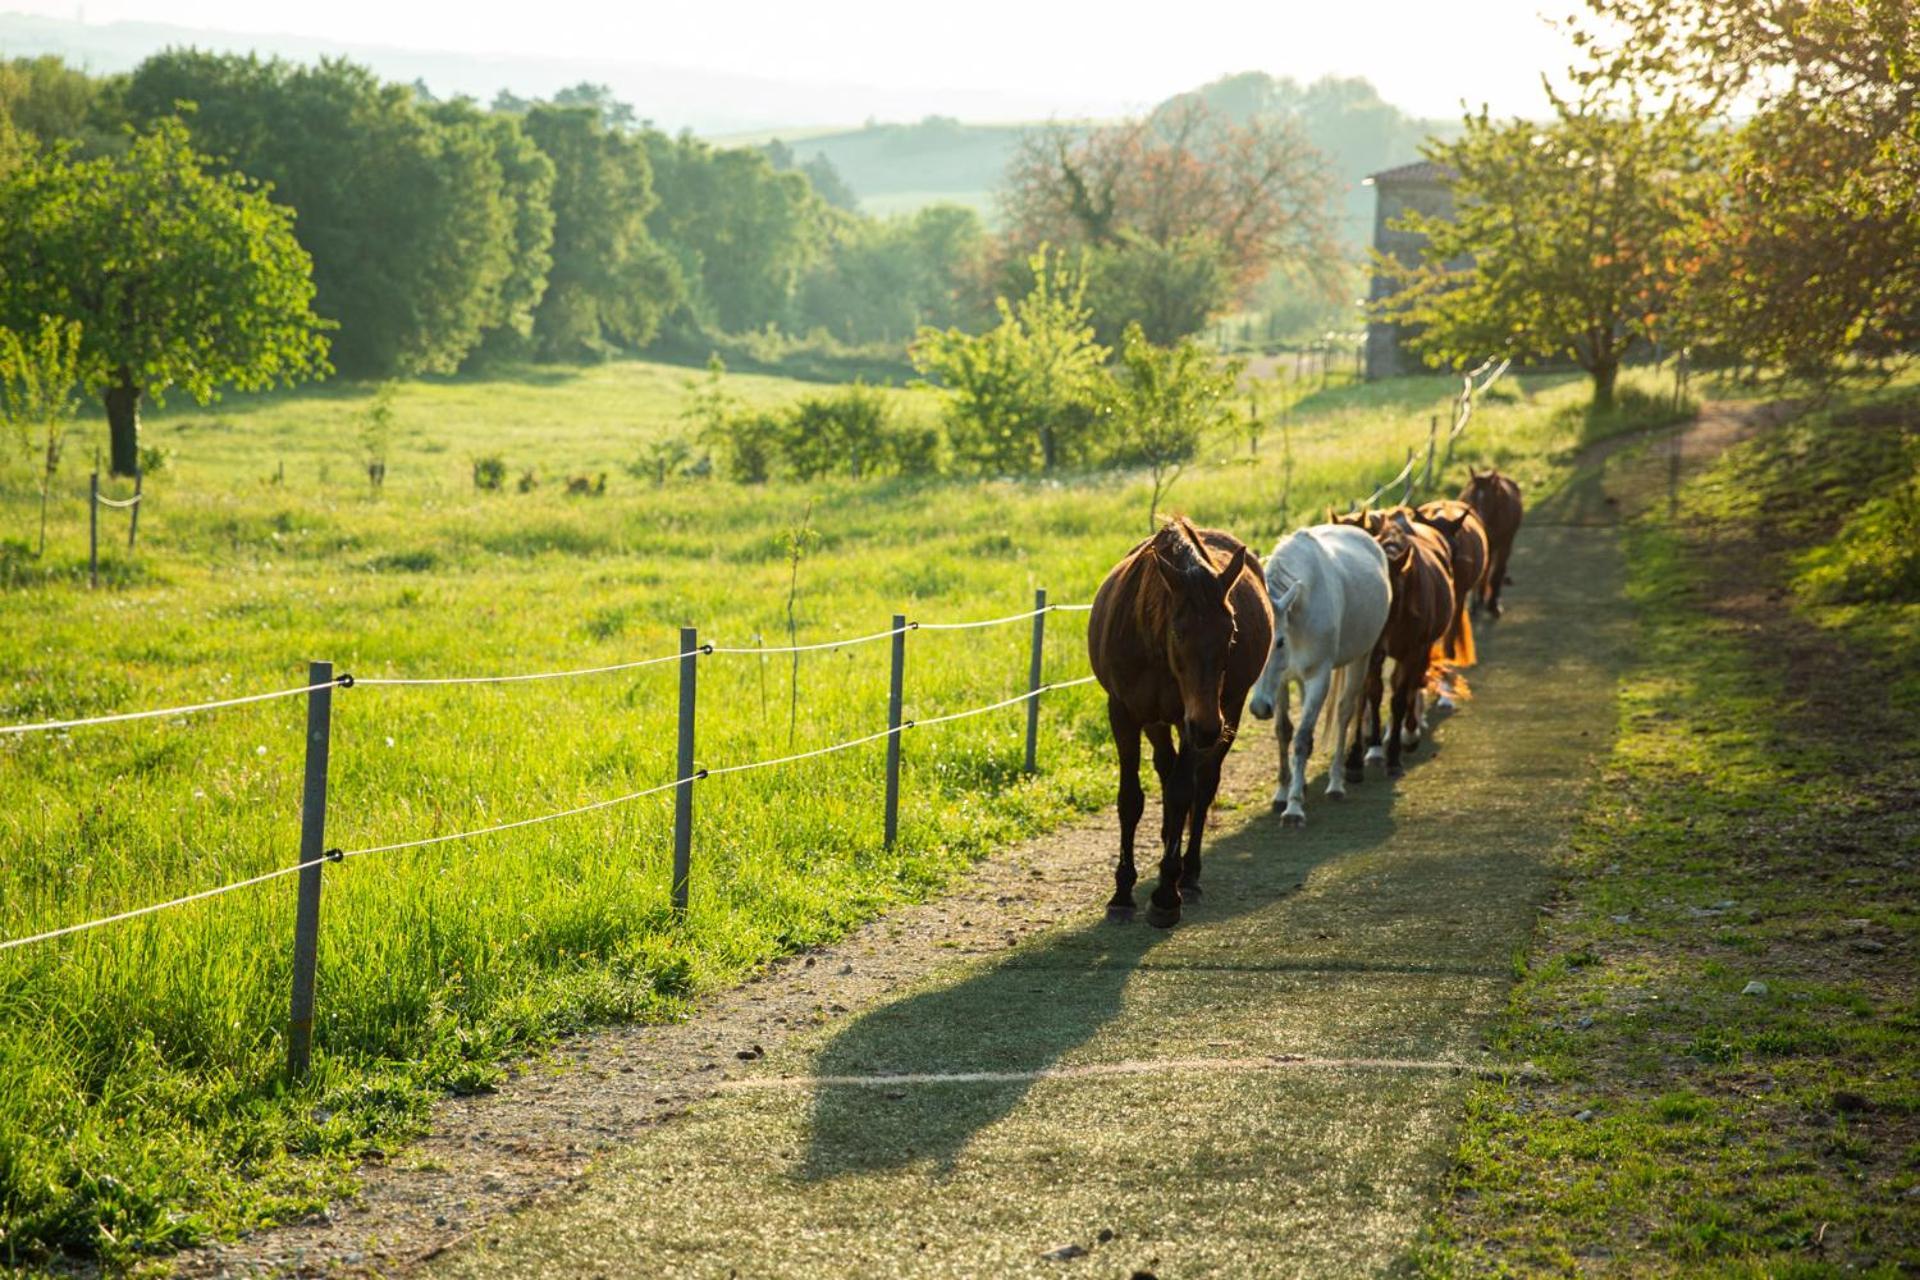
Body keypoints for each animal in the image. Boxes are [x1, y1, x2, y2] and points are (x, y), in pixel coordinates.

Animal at [1090, 518, 1267, 932]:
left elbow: (1182, 792)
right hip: (1162, 721)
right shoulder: (1123, 713)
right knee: (1165, 767)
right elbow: (1130, 799)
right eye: (1178, 632)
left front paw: (1166, 895)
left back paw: (1188, 875)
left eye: (1231, 632)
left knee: (1203, 785)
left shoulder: (1194, 718)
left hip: (1226, 711)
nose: (1208, 729)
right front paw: (1122, 893)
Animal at [1251, 525, 1390, 825]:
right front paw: (1283, 793)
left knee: (1345, 711)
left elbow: (1302, 738)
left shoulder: (1318, 678)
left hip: (1362, 657)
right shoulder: (1281, 681)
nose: (1258, 707)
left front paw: (1293, 809)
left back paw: (1337, 783)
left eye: (1279, 642)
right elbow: (1284, 731)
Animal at [1459, 468, 1520, 617]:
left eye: (1488, 499)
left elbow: (1497, 573)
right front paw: (1474, 605)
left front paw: (1493, 605)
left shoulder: (1504, 545)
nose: (1478, 521)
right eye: (1471, 497)